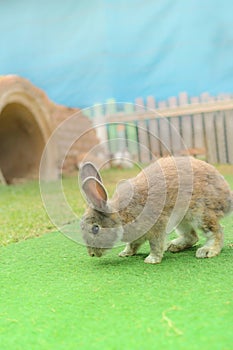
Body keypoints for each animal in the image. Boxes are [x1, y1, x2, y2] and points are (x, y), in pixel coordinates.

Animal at [79, 157, 232, 264]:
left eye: (95, 228)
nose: (92, 254)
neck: (121, 215)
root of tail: (227, 196)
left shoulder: (157, 226)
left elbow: (155, 244)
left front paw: (152, 259)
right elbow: (133, 244)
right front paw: (125, 253)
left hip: (201, 214)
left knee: (217, 231)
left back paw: (206, 251)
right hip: (181, 220)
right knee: (192, 236)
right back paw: (173, 246)